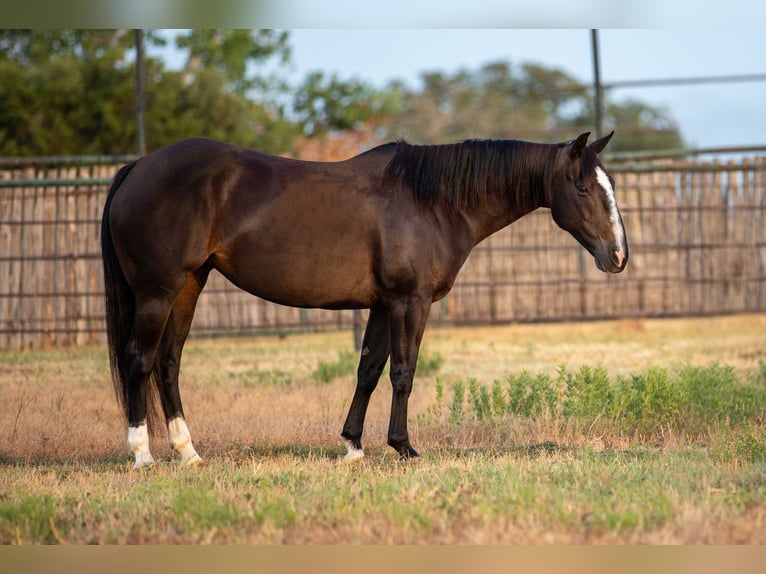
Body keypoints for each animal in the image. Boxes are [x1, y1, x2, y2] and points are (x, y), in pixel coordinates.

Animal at [100, 133, 632, 470]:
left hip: (189, 285)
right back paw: (142, 454)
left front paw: (353, 446)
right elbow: (403, 373)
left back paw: (188, 452)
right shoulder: (410, 302)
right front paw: (403, 447)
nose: (618, 256)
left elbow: (369, 370)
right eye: (583, 187)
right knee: (139, 360)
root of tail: (138, 167)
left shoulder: (381, 304)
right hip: (158, 292)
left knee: (168, 363)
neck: (431, 201)